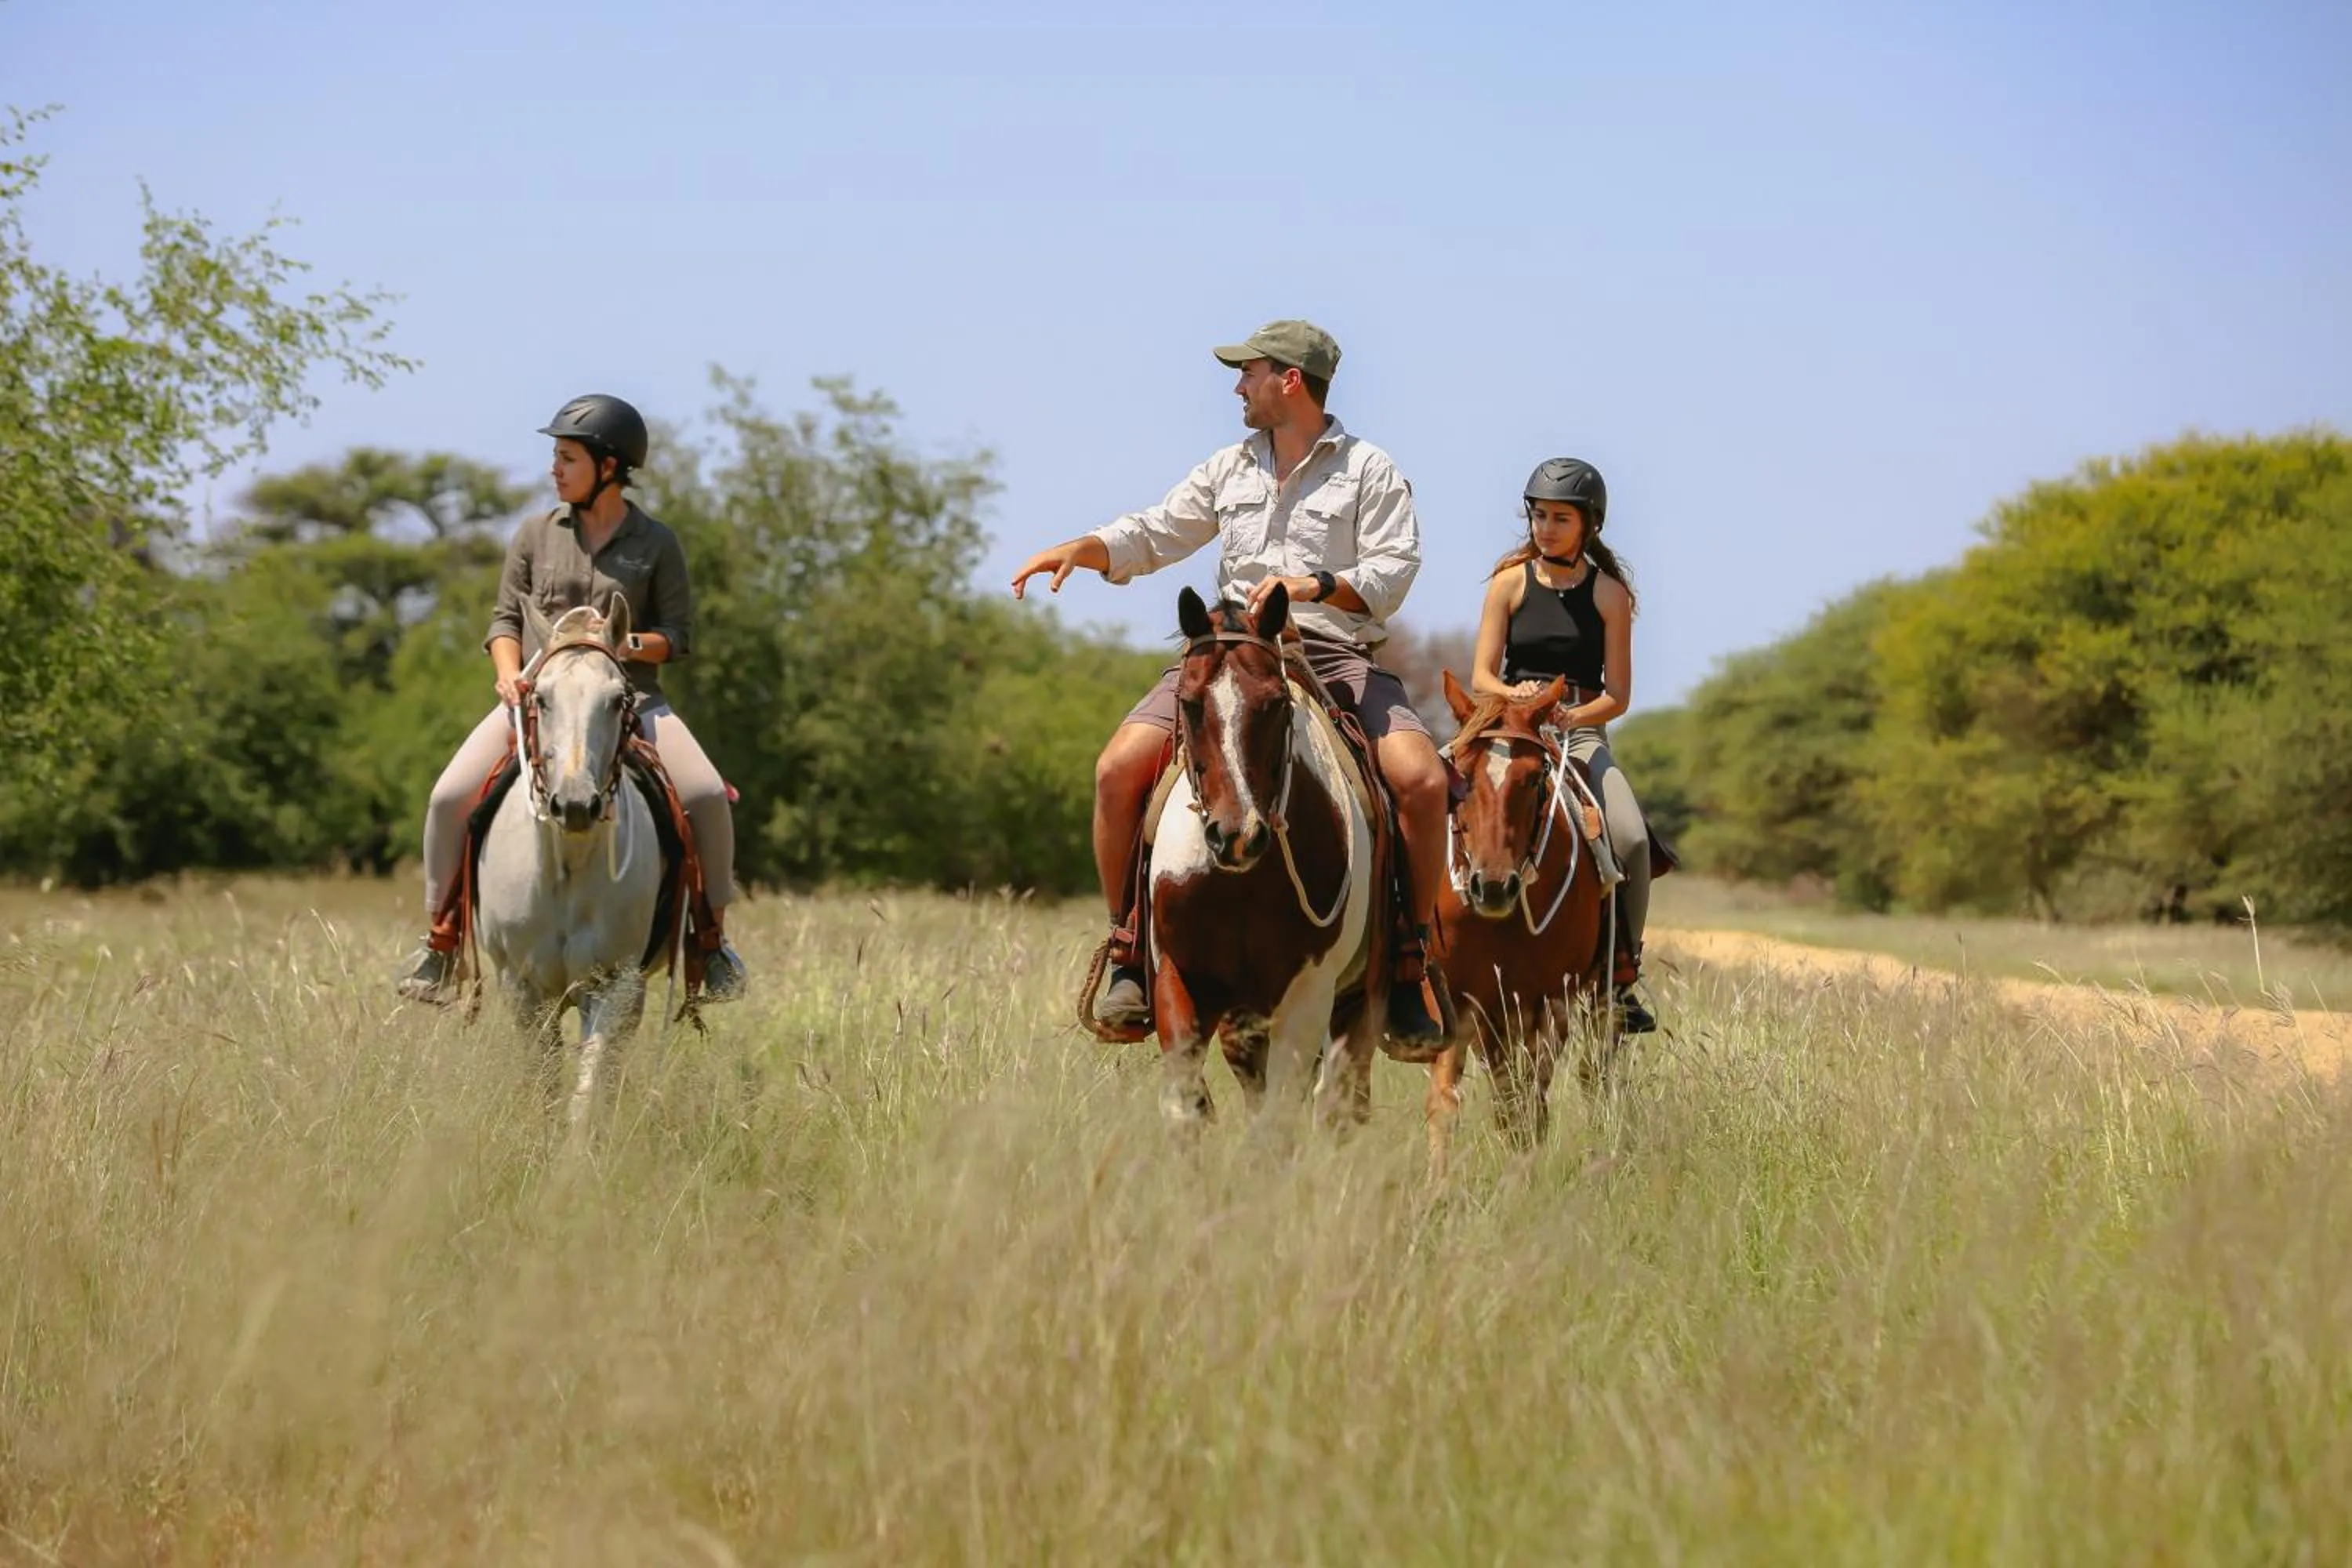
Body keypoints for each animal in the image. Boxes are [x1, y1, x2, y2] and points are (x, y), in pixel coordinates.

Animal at [475, 598, 666, 1130]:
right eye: (540, 698)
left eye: (620, 699)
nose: (576, 804)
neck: (567, 864)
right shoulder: (523, 990)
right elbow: (543, 1085)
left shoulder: (611, 986)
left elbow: (588, 1090)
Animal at [1146, 584, 1389, 1135]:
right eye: (1190, 704)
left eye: (1277, 704)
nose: (1237, 836)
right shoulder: (1179, 975)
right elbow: (1185, 1107)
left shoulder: (1307, 1000)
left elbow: (1276, 1127)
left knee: (1337, 1100)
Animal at [1426, 671, 1618, 1163]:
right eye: (1461, 774)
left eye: (1534, 778)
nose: (1493, 886)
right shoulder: (1458, 1001)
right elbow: (1446, 1106)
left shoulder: (1549, 1003)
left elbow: (1529, 1108)